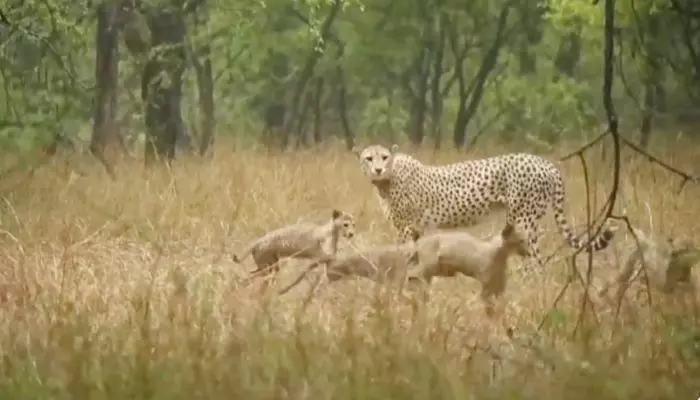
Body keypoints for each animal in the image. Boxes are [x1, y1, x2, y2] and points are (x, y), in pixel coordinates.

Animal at [356, 142, 616, 268]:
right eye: (368, 158)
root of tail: (545, 162)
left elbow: (402, 254)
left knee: (536, 259)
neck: (387, 180)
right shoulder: (418, 229)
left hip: (524, 220)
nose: (377, 169)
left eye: (384, 157)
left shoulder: (407, 228)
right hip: (521, 220)